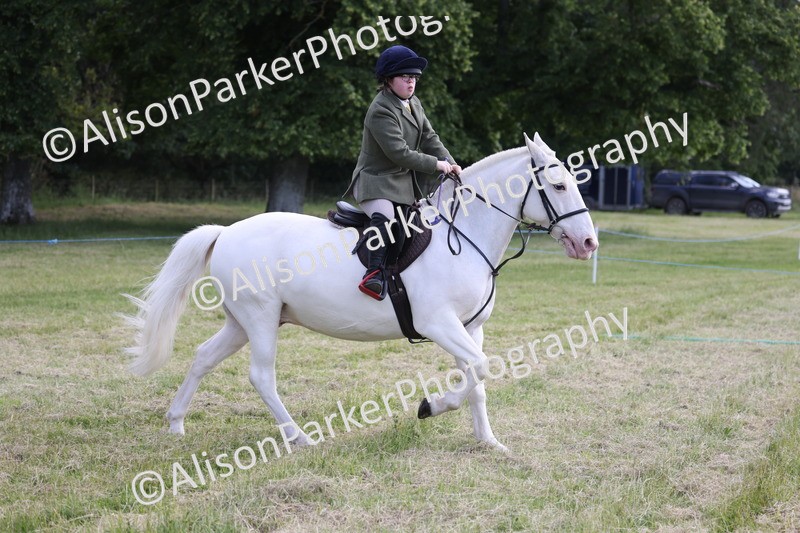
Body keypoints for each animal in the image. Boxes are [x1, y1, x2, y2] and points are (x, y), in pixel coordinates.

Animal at [124, 133, 598, 452]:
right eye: (559, 186)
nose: (588, 243)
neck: (463, 234)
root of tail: (225, 232)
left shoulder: (470, 327)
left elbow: (477, 376)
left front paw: (487, 441)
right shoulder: (438, 324)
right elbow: (479, 369)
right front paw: (431, 407)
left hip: (242, 322)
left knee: (203, 356)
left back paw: (176, 423)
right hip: (259, 318)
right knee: (261, 376)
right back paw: (299, 437)